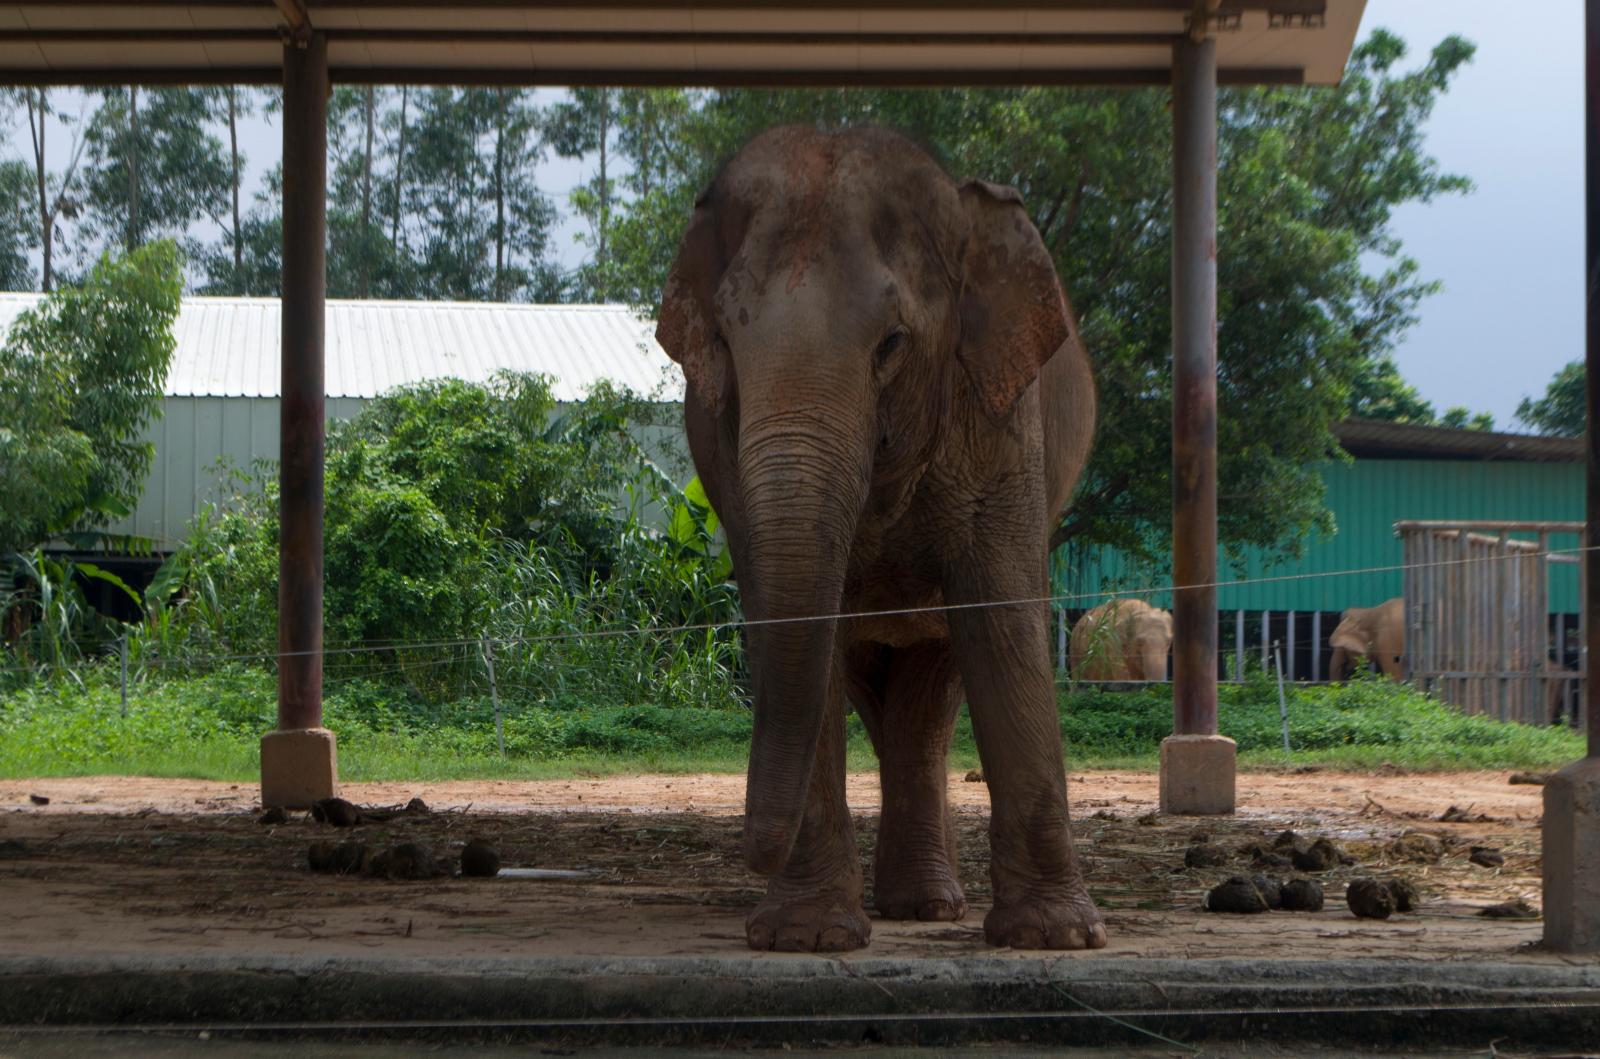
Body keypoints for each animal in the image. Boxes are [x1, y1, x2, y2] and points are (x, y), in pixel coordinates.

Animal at [659, 128, 1100, 959]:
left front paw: (1055, 936)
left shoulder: (999, 415)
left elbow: (1001, 623)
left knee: (934, 687)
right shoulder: (723, 448)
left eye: (892, 342)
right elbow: (796, 629)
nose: (750, 848)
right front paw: (806, 936)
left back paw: (929, 907)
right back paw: (913, 903)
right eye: (725, 340)